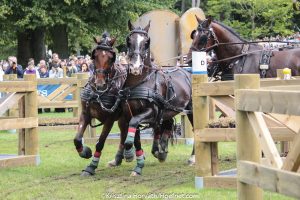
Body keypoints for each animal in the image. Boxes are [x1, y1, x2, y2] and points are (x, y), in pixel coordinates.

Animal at [74, 33, 129, 176]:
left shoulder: (110, 119)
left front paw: (91, 166)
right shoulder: (85, 114)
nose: (100, 83)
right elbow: (77, 138)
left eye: (110, 58)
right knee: (125, 131)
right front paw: (85, 152)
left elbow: (100, 142)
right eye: (95, 55)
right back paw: (119, 158)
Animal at [122, 21, 195, 176]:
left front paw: (129, 153)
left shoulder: (151, 112)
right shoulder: (129, 113)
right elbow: (135, 136)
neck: (141, 81)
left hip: (191, 110)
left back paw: (192, 157)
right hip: (168, 110)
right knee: (167, 125)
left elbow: (134, 123)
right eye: (129, 41)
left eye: (146, 42)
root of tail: (189, 72)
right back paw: (161, 152)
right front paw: (138, 165)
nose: (135, 67)